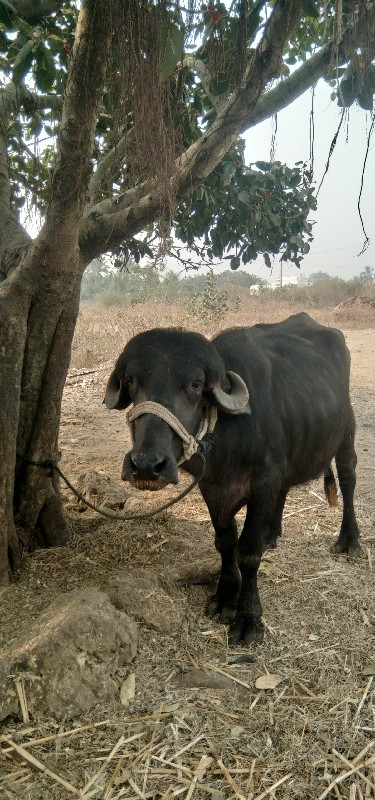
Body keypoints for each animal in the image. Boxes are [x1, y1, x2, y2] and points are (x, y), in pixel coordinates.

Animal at [106, 316, 362, 648]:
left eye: (196, 384)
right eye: (131, 380)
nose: (147, 465)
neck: (228, 438)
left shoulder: (264, 482)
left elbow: (248, 552)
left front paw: (248, 617)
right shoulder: (213, 487)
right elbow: (226, 542)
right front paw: (226, 596)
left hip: (346, 434)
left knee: (348, 479)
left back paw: (350, 540)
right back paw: (272, 533)